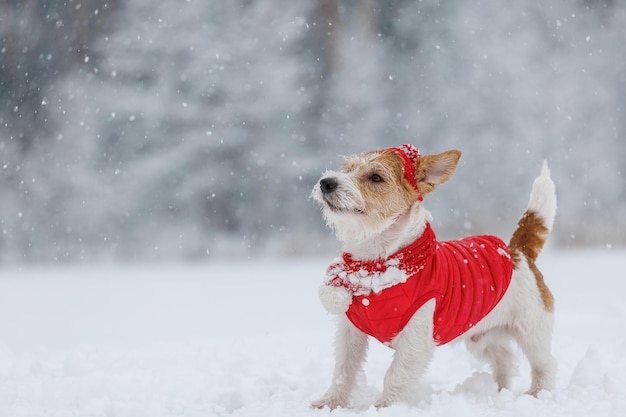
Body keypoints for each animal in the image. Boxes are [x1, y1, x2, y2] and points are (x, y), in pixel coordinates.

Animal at [310, 145, 552, 408]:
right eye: (348, 168)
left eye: (376, 177)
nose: (326, 182)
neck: (374, 266)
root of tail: (516, 251)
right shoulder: (351, 333)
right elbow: (344, 369)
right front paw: (330, 402)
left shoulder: (415, 338)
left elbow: (395, 374)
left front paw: (385, 407)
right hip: (481, 336)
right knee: (505, 358)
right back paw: (498, 392)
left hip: (532, 331)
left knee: (545, 365)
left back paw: (537, 394)